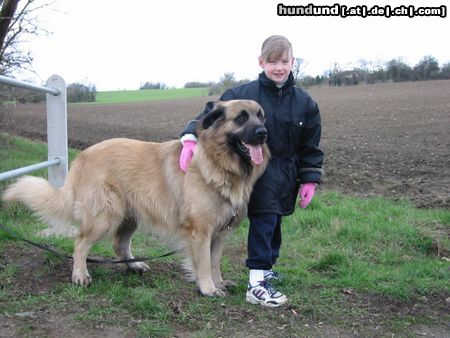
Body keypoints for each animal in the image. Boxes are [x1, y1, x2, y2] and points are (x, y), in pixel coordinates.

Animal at [3, 99, 268, 296]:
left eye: (261, 116)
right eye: (241, 117)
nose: (263, 133)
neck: (217, 163)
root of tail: (83, 155)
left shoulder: (220, 233)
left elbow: (214, 261)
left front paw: (218, 282)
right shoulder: (200, 231)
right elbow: (203, 262)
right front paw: (208, 288)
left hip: (129, 216)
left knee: (119, 244)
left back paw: (133, 265)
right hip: (105, 218)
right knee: (80, 244)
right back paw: (80, 275)